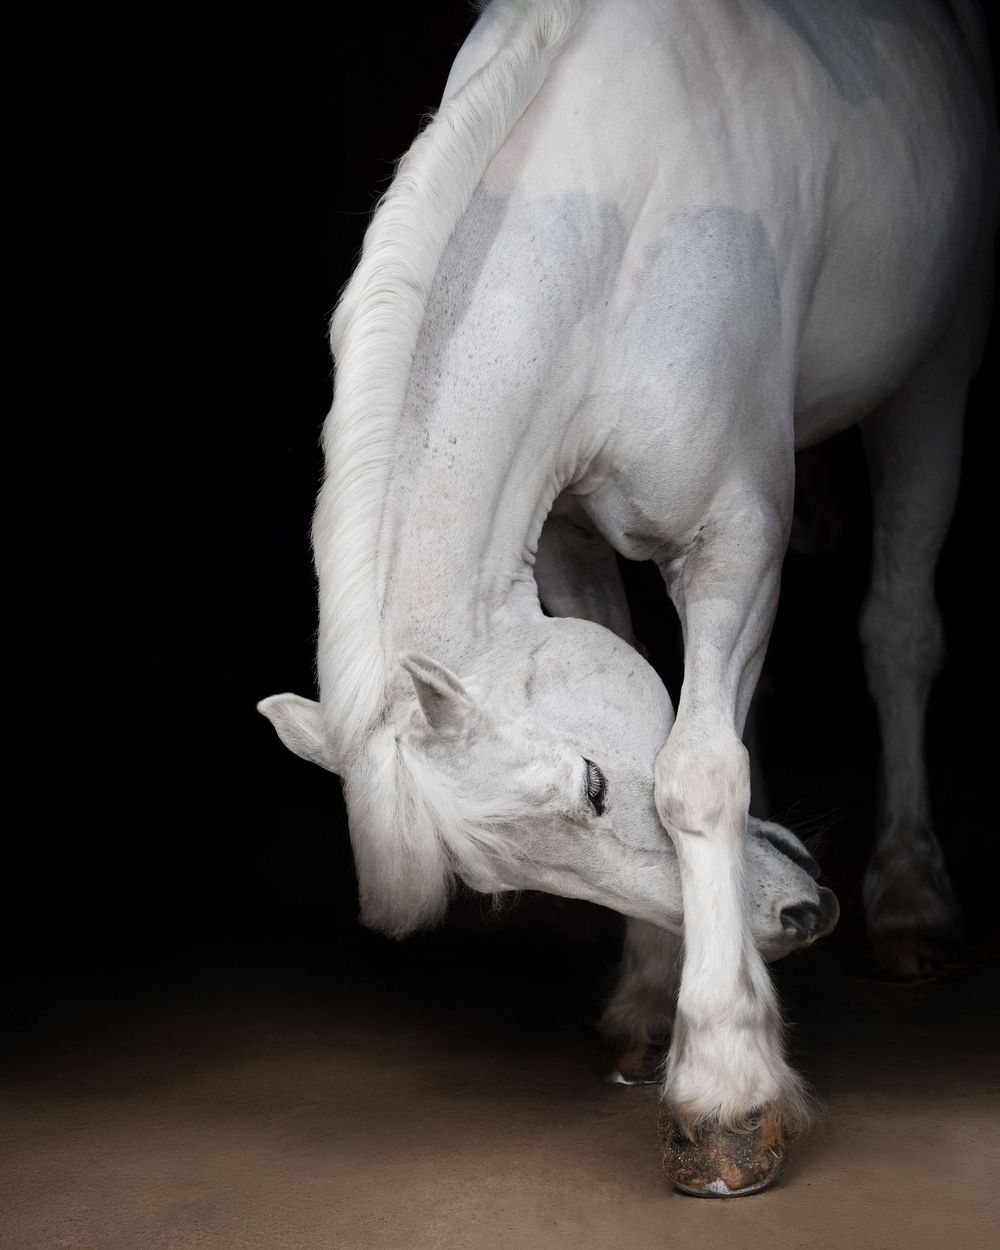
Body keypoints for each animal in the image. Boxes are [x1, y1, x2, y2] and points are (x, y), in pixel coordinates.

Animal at [260, 0, 996, 1196]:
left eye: (594, 786)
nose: (798, 916)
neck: (619, 226)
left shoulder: (734, 538)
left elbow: (700, 773)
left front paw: (725, 1092)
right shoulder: (561, 537)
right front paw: (657, 1002)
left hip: (931, 384)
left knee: (897, 631)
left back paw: (911, 901)